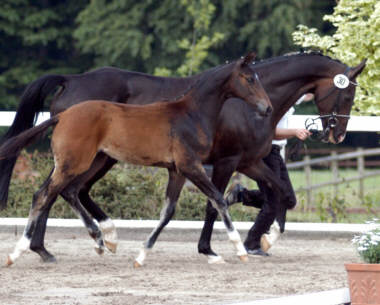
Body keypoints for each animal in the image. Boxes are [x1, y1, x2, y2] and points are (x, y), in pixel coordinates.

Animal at [1, 51, 366, 262]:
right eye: (347, 93)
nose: (337, 135)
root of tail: (71, 80)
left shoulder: (249, 161)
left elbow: (281, 194)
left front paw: (261, 238)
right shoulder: (227, 161)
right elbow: (215, 203)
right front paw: (213, 247)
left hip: (101, 158)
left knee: (68, 190)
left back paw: (93, 240)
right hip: (89, 158)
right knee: (56, 190)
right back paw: (46, 248)